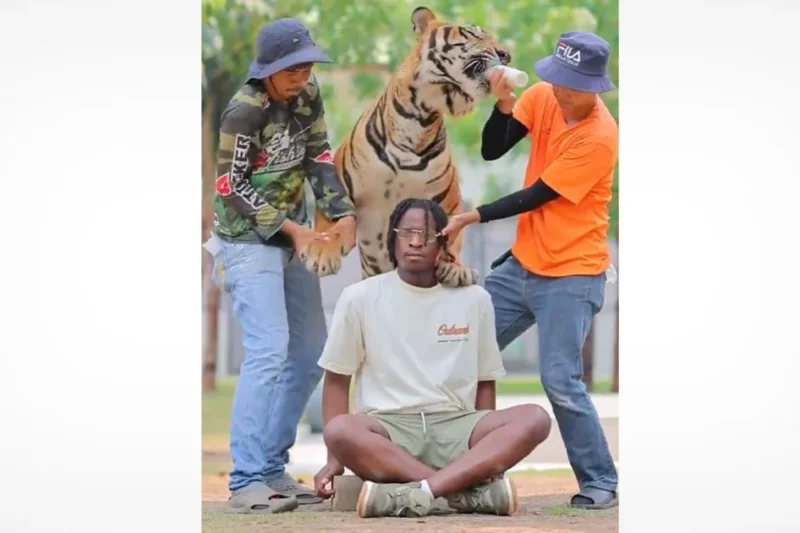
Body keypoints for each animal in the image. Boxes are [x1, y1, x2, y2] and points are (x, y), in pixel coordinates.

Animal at [299, 6, 512, 287]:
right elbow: (332, 222)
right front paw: (321, 253)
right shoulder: (339, 184)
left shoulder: (450, 202)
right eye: (472, 33)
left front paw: (455, 268)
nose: (507, 55)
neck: (418, 119)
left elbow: (452, 236)